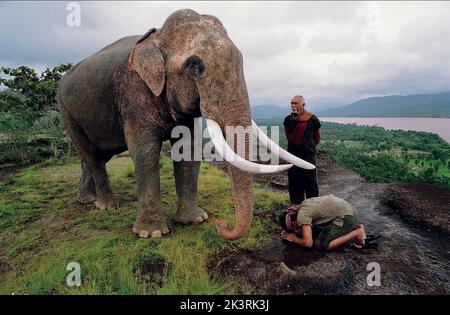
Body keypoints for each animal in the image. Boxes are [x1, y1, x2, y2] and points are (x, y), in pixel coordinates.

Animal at [58, 8, 314, 241]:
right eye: (195, 65)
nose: (220, 224)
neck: (157, 36)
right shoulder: (133, 92)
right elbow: (144, 151)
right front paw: (151, 234)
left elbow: (188, 148)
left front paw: (195, 219)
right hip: (65, 109)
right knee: (91, 154)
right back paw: (106, 206)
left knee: (96, 156)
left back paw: (87, 199)